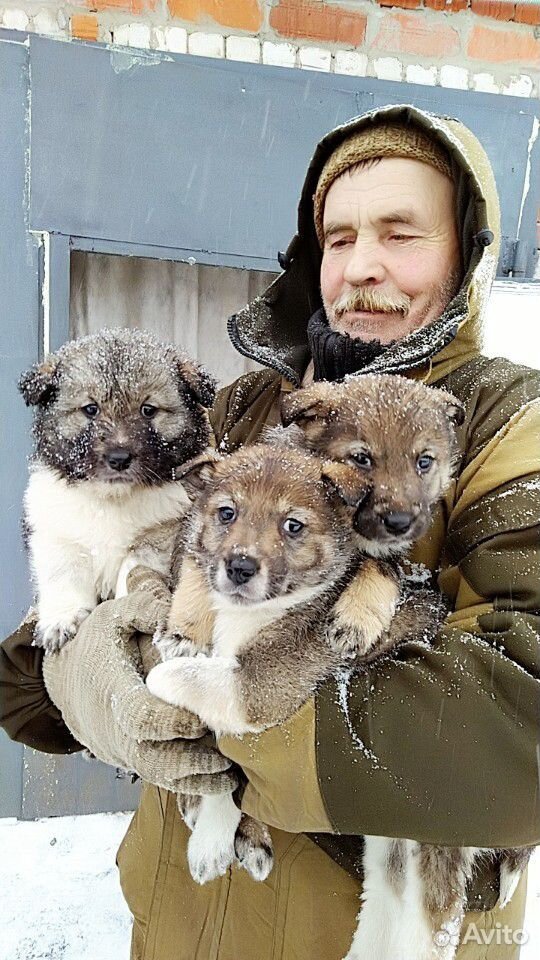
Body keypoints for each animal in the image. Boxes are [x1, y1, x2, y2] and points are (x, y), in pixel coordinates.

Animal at [21, 328, 215, 652]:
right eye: (90, 409)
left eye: (148, 410)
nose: (119, 459)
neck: (112, 498)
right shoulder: (57, 535)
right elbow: (62, 577)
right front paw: (62, 618)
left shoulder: (157, 539)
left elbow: (130, 574)